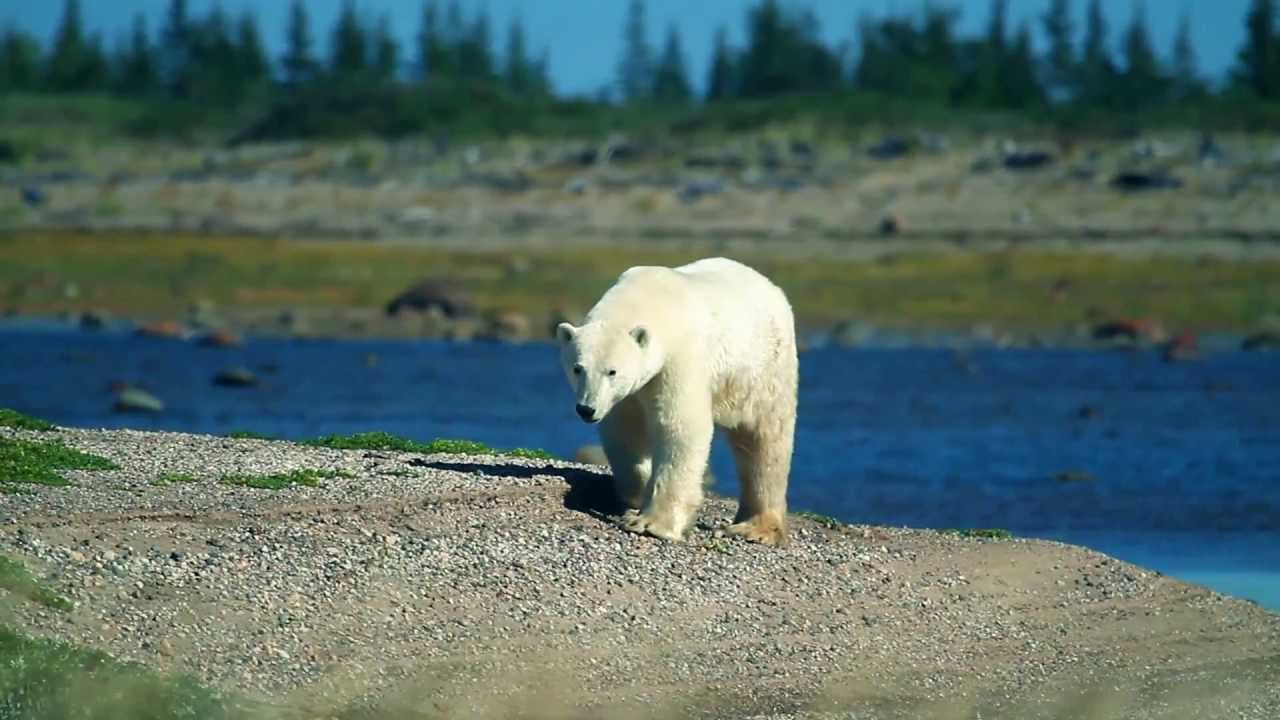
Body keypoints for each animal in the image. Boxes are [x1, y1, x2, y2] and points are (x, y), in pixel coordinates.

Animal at [555, 257, 798, 546]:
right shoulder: (628, 393)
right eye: (577, 368)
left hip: (763, 368)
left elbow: (680, 427)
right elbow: (625, 430)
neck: (651, 298)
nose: (586, 409)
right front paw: (636, 498)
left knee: (764, 438)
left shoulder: (680, 358)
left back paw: (755, 527)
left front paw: (651, 524)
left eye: (612, 371)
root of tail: (771, 287)